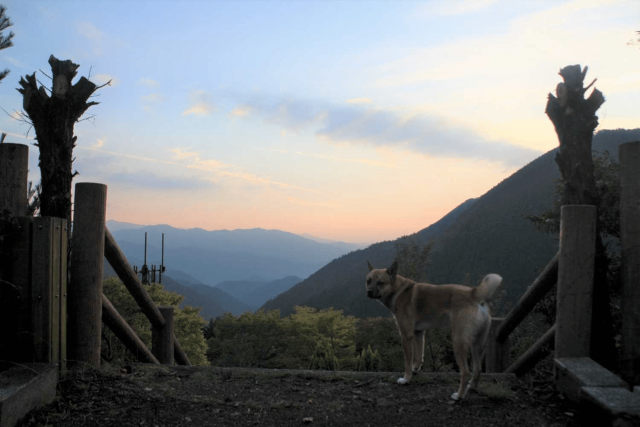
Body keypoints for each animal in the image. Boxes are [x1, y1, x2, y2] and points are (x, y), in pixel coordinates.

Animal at [364, 260, 500, 402]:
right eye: (368, 281)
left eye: (380, 282)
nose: (369, 292)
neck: (399, 290)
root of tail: (474, 294)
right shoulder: (418, 333)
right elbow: (418, 356)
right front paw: (415, 370)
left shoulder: (406, 336)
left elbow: (408, 361)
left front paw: (406, 379)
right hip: (477, 344)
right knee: (478, 369)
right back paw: (471, 387)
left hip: (458, 342)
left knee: (465, 372)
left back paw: (459, 396)